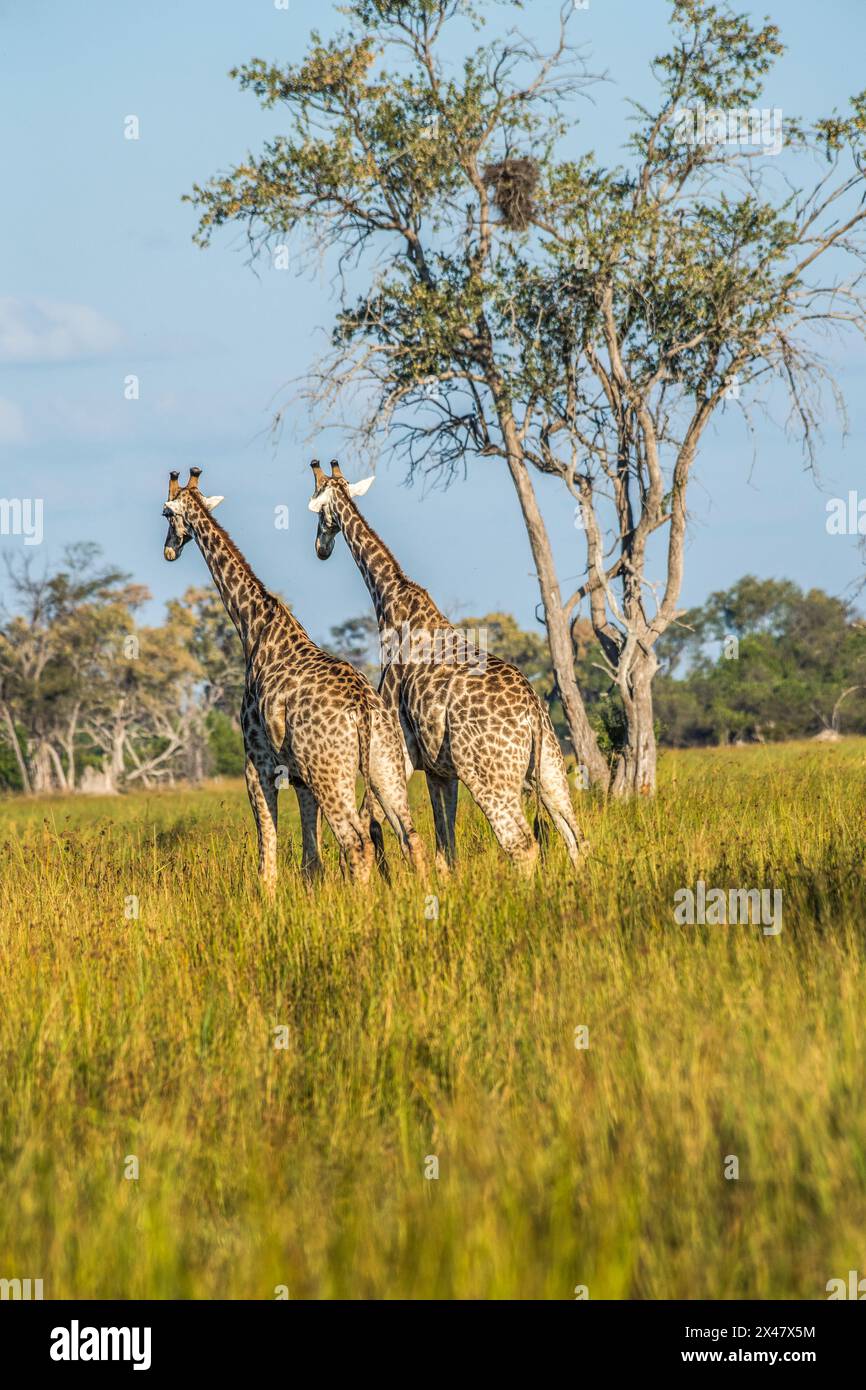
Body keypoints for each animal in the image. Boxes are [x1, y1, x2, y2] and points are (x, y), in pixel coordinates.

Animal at [161, 472, 425, 895]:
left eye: (166, 514)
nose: (169, 550)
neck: (252, 625)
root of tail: (363, 710)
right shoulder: (300, 776)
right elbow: (311, 859)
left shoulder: (258, 763)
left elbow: (267, 853)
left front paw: (267, 900)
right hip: (384, 762)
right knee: (409, 834)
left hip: (331, 771)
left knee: (357, 841)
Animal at [307, 458, 589, 867]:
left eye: (316, 503)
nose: (321, 549)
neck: (391, 602)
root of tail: (533, 715)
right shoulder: (440, 768)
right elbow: (446, 846)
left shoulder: (400, 746)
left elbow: (379, 820)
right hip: (550, 766)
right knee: (576, 837)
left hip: (488, 774)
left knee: (521, 844)